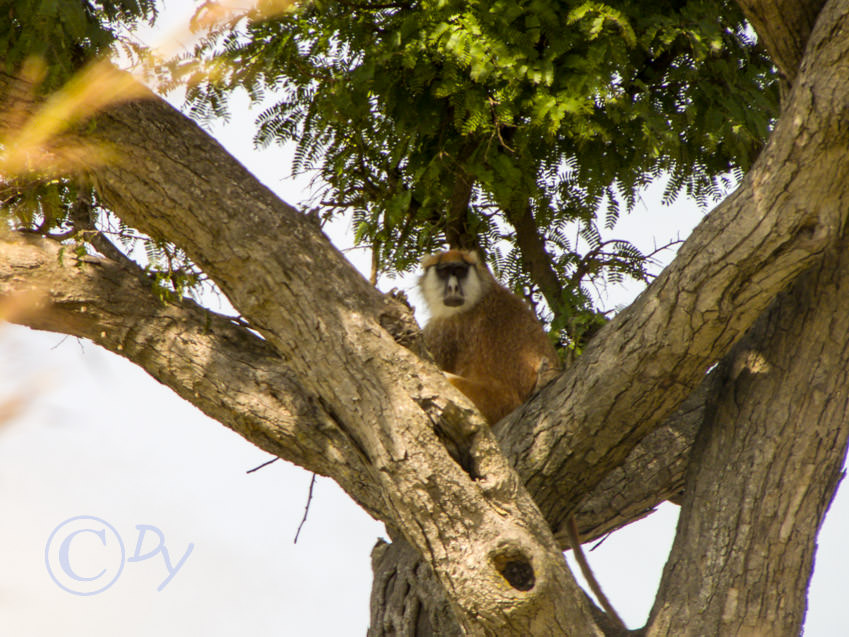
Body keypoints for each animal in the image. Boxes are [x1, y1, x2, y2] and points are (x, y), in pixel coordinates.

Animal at [420, 248, 564, 422]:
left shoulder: (448, 325)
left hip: (495, 403)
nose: (453, 287)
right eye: (444, 272)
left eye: (460, 271)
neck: (479, 295)